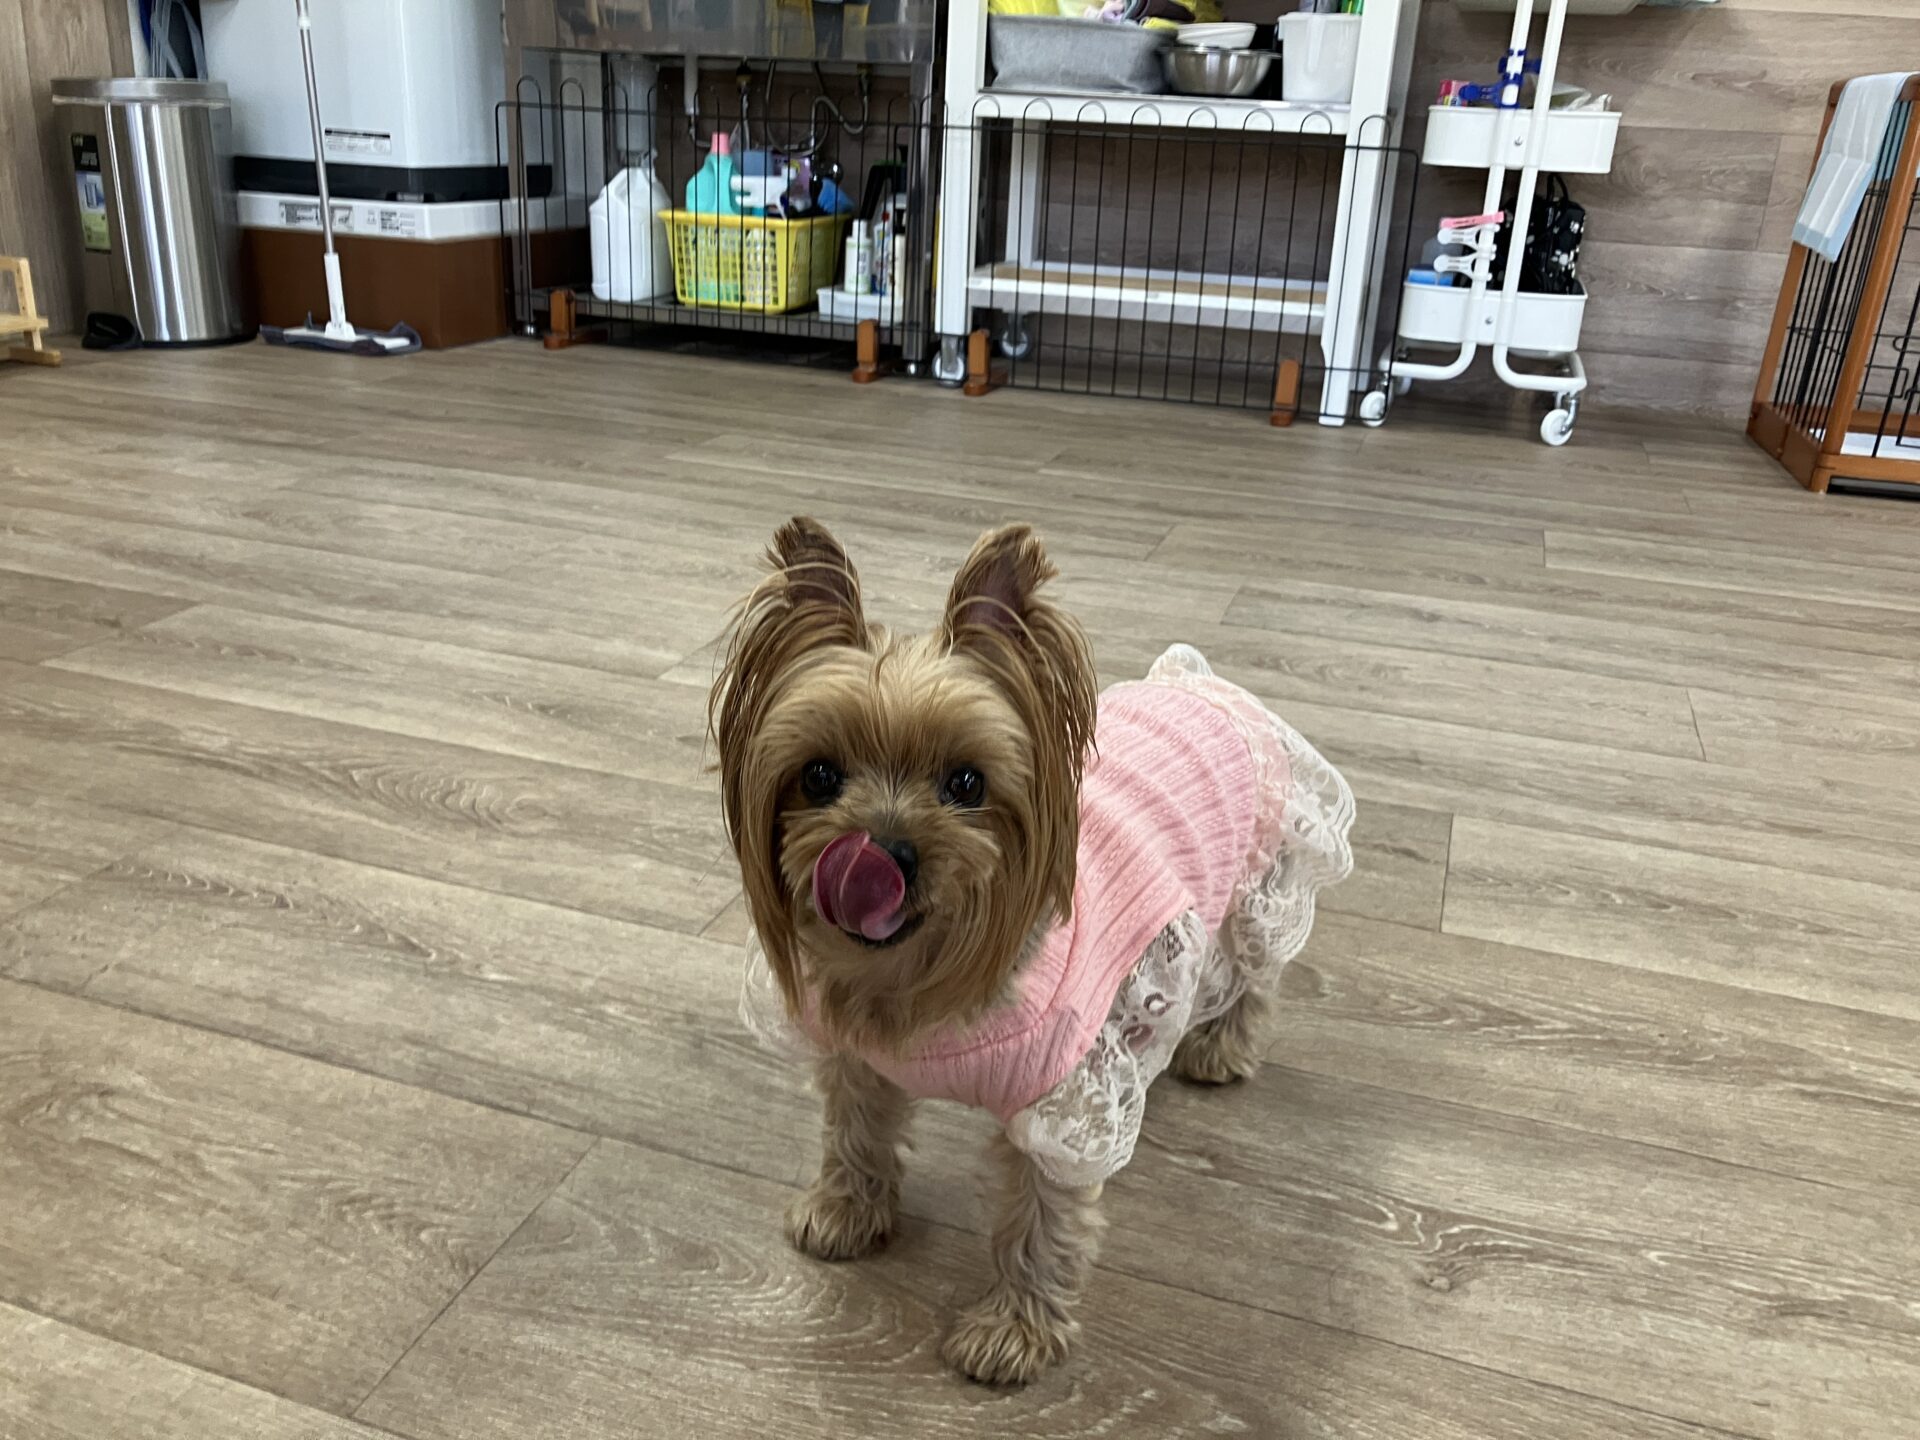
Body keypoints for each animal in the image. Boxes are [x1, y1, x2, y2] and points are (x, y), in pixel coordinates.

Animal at [710, 518, 1353, 1385]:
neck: (915, 977)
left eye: (966, 784)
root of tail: (1208, 684)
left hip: (1262, 880)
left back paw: (1220, 1049)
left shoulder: (1065, 1108)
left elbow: (1041, 1220)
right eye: (817, 776)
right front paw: (846, 1210)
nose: (884, 853)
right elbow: (856, 1127)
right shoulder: (853, 1052)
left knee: (1253, 972)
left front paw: (1013, 1331)